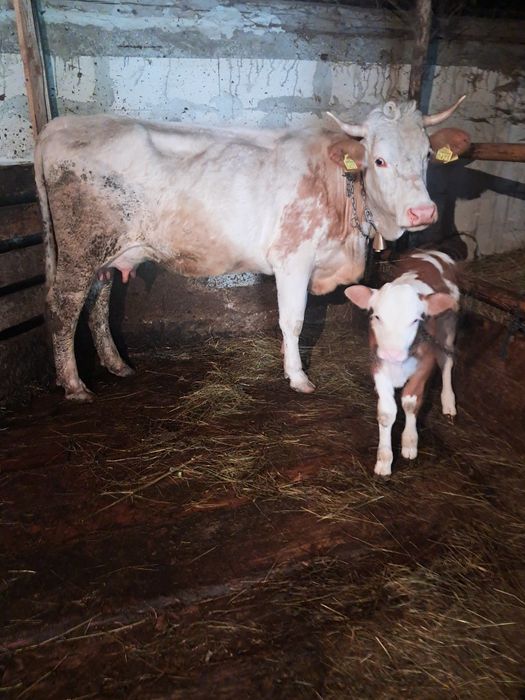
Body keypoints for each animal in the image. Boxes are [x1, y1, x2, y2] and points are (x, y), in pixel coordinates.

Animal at [34, 97, 468, 401]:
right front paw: (298, 377)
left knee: (98, 301)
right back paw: (74, 384)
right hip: (80, 249)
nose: (422, 210)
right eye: (379, 160)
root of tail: (58, 126)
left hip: (106, 253)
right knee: (63, 306)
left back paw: (115, 364)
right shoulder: (293, 258)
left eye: (427, 155)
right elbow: (293, 321)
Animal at [345, 250, 460, 476]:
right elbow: (386, 412)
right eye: (377, 317)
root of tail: (431, 251)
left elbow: (410, 402)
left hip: (449, 326)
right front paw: (384, 460)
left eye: (415, 320)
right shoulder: (378, 362)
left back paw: (448, 401)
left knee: (447, 361)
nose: (392, 354)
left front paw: (409, 442)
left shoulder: (425, 364)